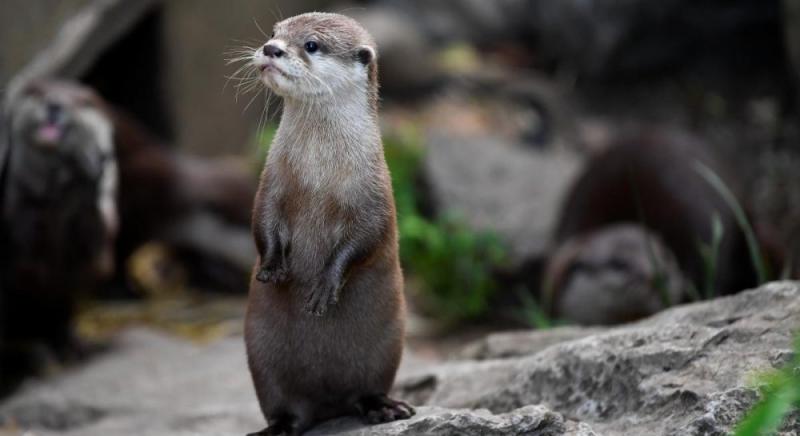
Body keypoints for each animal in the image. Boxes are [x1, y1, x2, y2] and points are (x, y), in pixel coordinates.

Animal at [244, 11, 412, 434]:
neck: (317, 173)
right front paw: (272, 267)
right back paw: (278, 427)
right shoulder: (272, 180)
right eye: (275, 32)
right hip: (262, 358)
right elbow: (262, 221)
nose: (271, 49)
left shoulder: (375, 192)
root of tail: (327, 407)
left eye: (312, 45)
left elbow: (366, 239)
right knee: (284, 405)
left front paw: (324, 287)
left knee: (367, 387)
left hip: (386, 348)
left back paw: (383, 407)